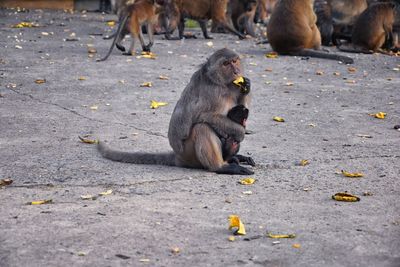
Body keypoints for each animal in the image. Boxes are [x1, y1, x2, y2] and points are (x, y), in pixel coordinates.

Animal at [97, 48, 255, 176]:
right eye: (226, 64)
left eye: (234, 61)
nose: (236, 71)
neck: (222, 83)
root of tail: (178, 156)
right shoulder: (213, 93)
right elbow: (203, 116)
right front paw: (240, 131)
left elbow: (242, 109)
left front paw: (246, 87)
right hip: (189, 154)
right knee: (201, 127)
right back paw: (220, 166)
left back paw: (232, 158)